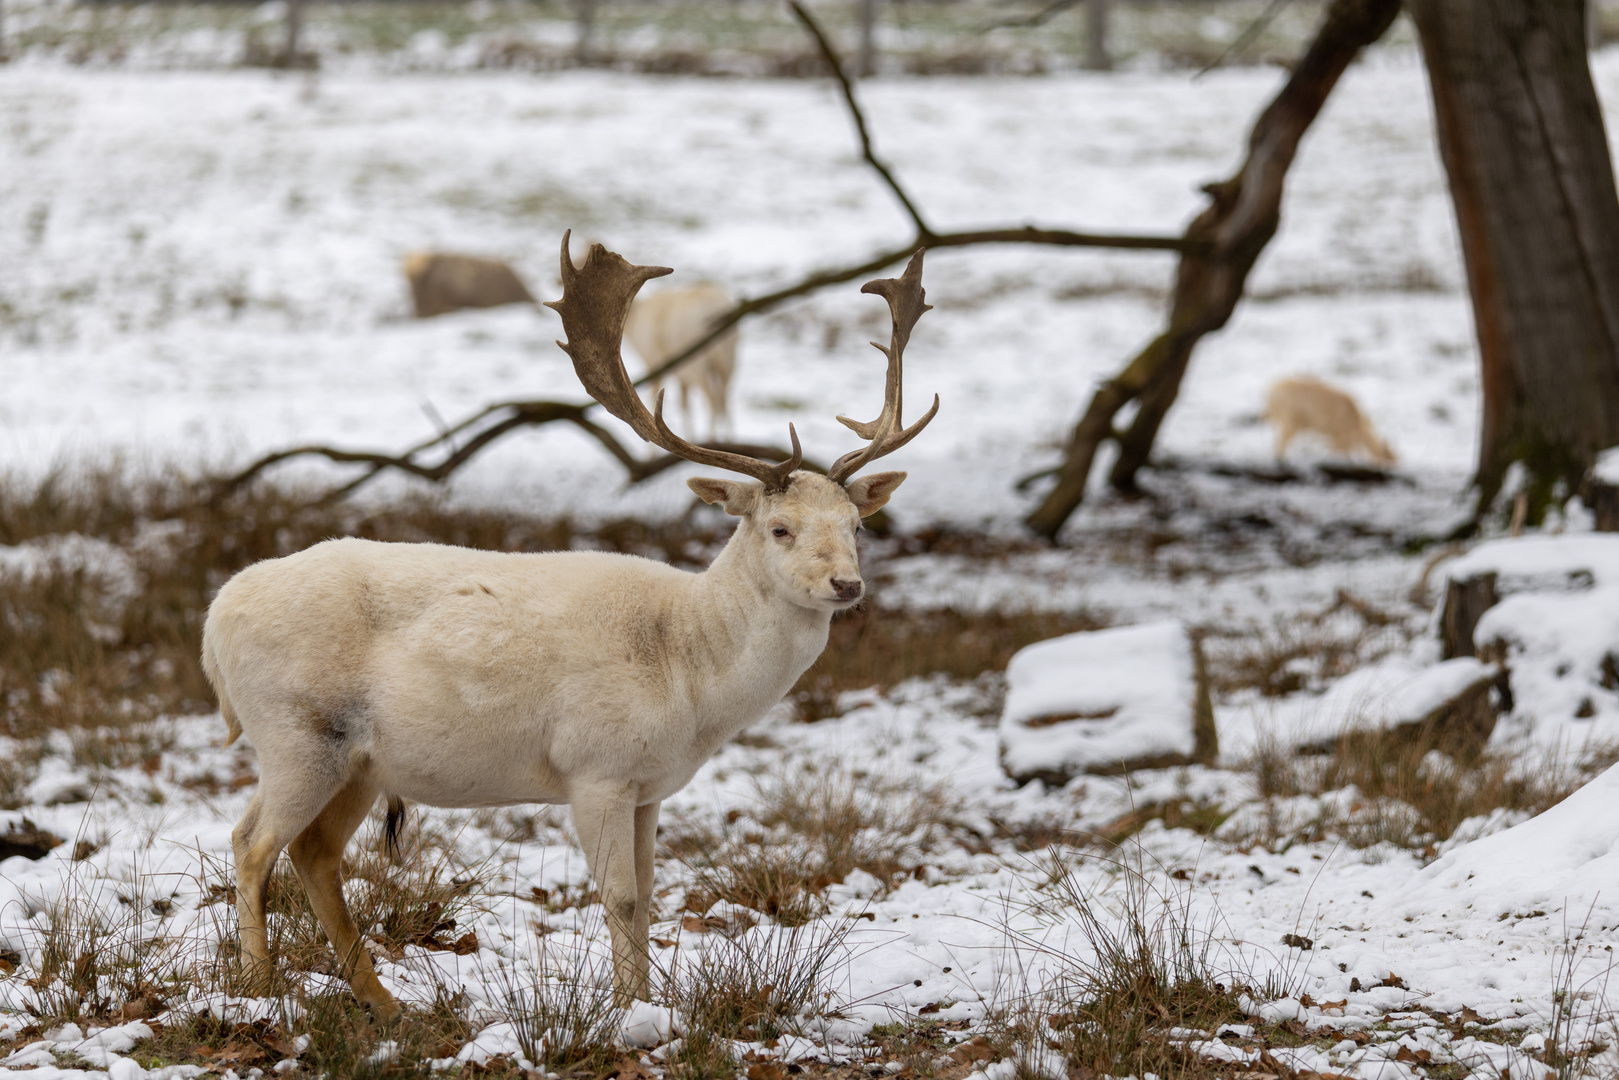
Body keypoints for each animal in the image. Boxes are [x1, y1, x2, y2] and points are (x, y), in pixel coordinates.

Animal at [624, 286, 741, 443]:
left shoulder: (653, 362)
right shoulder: (681, 374)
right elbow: (684, 405)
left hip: (697, 363)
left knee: (712, 400)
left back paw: (712, 439)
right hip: (729, 358)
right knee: (725, 398)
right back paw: (730, 440)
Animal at [1262, 375, 1392, 466]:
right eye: (1388, 460)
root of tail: (1271, 393)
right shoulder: (1340, 436)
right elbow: (1341, 453)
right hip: (1290, 419)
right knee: (1282, 443)